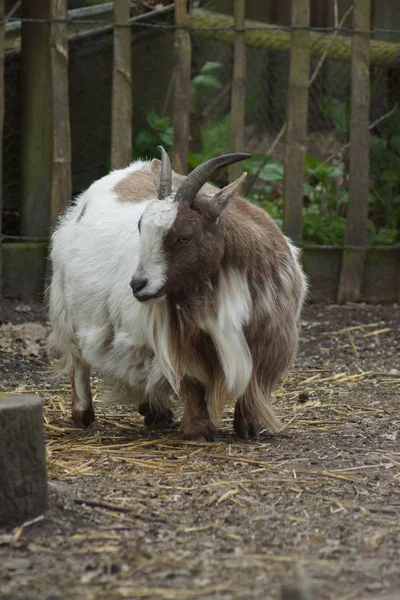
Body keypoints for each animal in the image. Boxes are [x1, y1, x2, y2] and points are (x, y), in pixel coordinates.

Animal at [48, 149, 308, 440]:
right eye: (141, 228)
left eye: (184, 236)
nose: (137, 284)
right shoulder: (179, 338)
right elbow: (192, 382)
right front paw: (199, 430)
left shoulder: (269, 334)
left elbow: (253, 382)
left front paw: (249, 427)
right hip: (66, 307)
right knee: (78, 359)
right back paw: (83, 412)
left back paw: (155, 412)